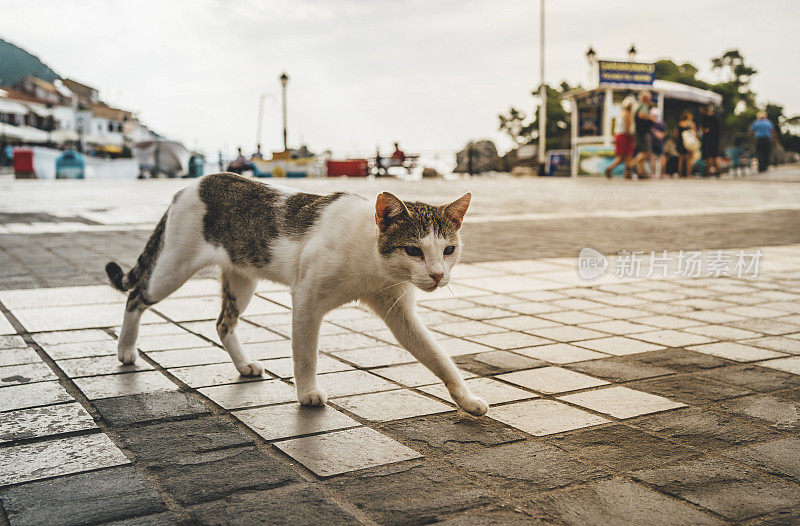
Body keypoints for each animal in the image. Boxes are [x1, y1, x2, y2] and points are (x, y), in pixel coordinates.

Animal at [106, 173, 488, 416]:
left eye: (449, 249)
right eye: (413, 251)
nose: (438, 275)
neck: (373, 264)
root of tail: (189, 185)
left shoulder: (399, 312)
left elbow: (439, 358)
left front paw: (466, 399)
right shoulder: (306, 299)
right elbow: (306, 355)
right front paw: (307, 394)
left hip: (241, 281)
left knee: (223, 324)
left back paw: (243, 365)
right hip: (172, 270)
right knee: (135, 297)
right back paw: (125, 349)